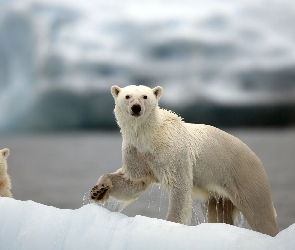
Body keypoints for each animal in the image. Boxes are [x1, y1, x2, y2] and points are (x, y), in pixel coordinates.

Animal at [90, 84, 280, 236]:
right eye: (127, 96)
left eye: (145, 96)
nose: (136, 108)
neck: (149, 135)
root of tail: (254, 156)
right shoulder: (136, 152)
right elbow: (135, 181)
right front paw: (99, 190)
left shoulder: (172, 151)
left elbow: (179, 186)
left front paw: (170, 224)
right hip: (218, 192)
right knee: (218, 212)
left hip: (244, 175)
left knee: (260, 213)